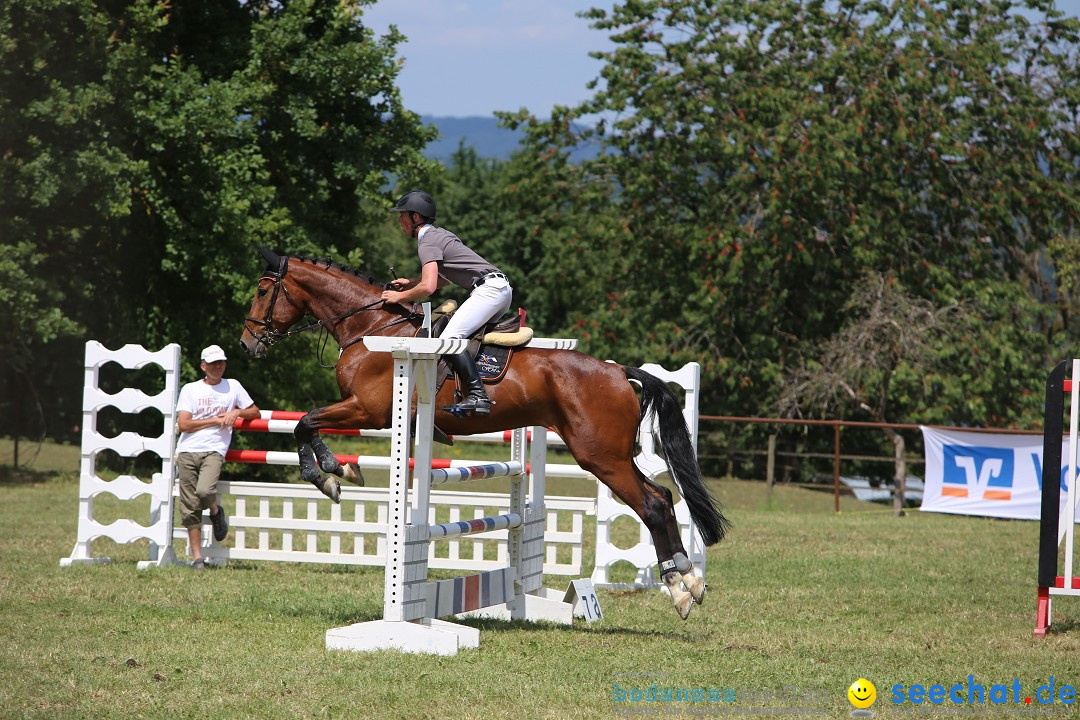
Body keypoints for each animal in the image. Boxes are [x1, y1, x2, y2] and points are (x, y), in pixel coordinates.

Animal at [240, 246, 730, 621]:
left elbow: (305, 421)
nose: (247, 344)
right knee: (663, 498)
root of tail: (617, 371)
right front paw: (336, 471)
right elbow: (307, 422)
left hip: (600, 457)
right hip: (613, 456)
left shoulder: (369, 410)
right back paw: (689, 583)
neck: (371, 330)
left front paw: (327, 473)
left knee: (652, 504)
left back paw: (680, 588)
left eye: (263, 290)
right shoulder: (363, 411)